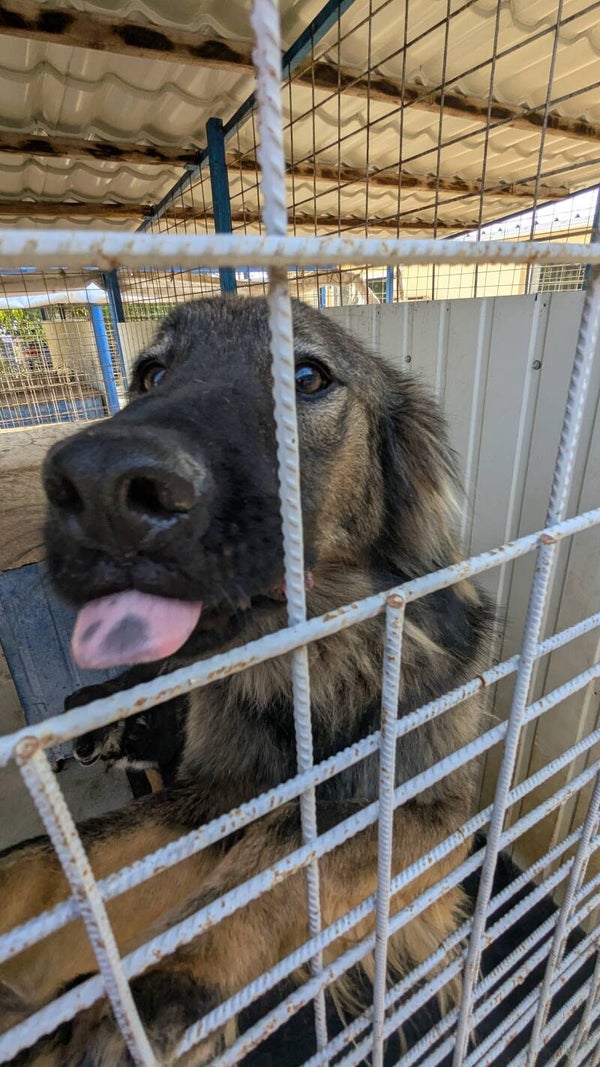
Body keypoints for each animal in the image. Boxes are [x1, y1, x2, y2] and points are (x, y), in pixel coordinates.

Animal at [0, 296, 494, 1065]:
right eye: (150, 373)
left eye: (307, 376)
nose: (99, 485)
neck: (314, 672)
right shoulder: (217, 791)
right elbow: (57, 858)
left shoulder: (429, 816)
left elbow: (283, 860)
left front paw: (153, 991)